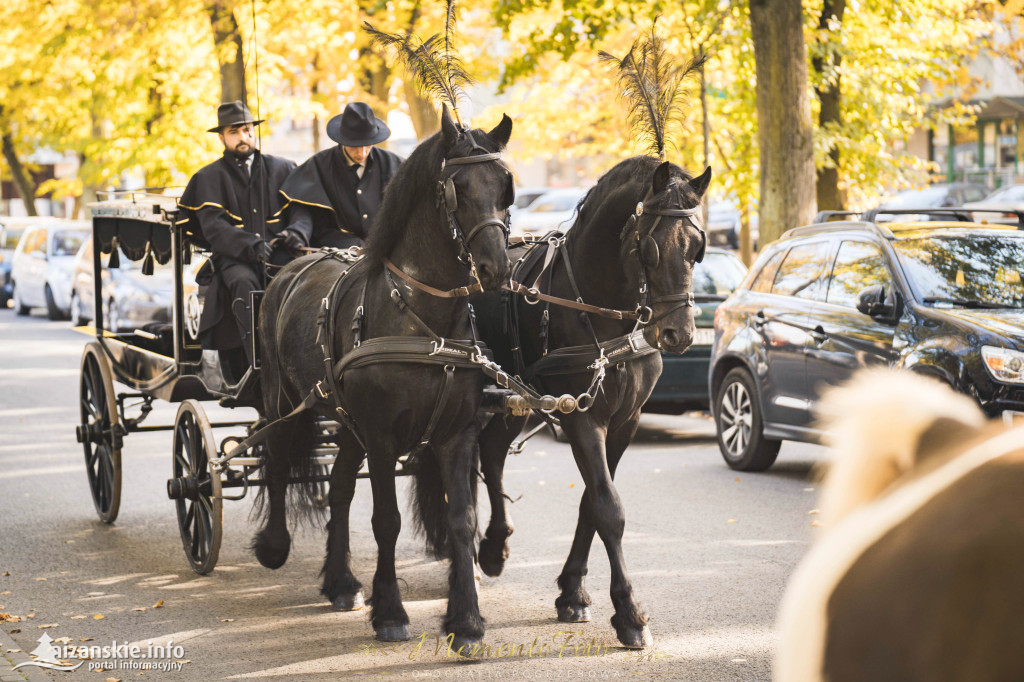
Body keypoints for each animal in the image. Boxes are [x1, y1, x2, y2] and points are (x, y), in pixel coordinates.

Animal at [252, 106, 516, 647]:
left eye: (505, 185)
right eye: (457, 187)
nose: (496, 268)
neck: (421, 320)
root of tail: (291, 265)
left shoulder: (456, 433)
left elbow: (461, 519)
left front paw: (466, 618)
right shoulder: (381, 435)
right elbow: (386, 521)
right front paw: (391, 611)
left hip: (347, 422)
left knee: (337, 487)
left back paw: (340, 582)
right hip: (283, 400)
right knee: (278, 459)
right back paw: (274, 546)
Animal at [473, 156, 708, 647]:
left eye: (698, 247)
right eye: (651, 248)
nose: (679, 334)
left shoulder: (625, 420)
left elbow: (591, 502)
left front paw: (572, 591)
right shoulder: (581, 417)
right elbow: (609, 508)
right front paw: (629, 613)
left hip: (513, 398)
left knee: (492, 454)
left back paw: (495, 545)